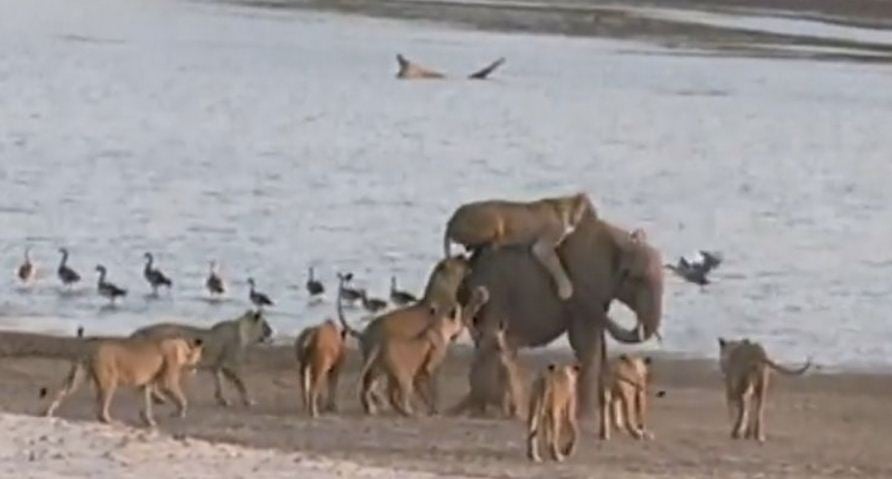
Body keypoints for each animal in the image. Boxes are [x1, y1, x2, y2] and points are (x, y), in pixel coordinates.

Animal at [42, 336, 203, 427]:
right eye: (199, 357)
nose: (197, 368)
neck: (181, 347)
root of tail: (90, 349)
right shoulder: (168, 379)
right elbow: (181, 398)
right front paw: (179, 413)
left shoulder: (144, 385)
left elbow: (146, 403)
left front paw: (149, 420)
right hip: (109, 382)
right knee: (101, 410)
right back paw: (110, 421)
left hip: (76, 378)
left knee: (61, 393)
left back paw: (47, 413)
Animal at [130, 309, 273, 407]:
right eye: (266, 325)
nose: (272, 331)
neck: (244, 332)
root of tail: (141, 330)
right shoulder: (229, 366)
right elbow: (241, 384)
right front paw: (249, 401)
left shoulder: (217, 367)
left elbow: (219, 382)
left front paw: (222, 399)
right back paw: (159, 398)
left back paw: (158, 398)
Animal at [443, 193, 593, 300]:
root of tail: (452, 220)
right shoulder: (542, 247)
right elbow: (556, 264)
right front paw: (566, 290)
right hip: (495, 218)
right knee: (487, 244)